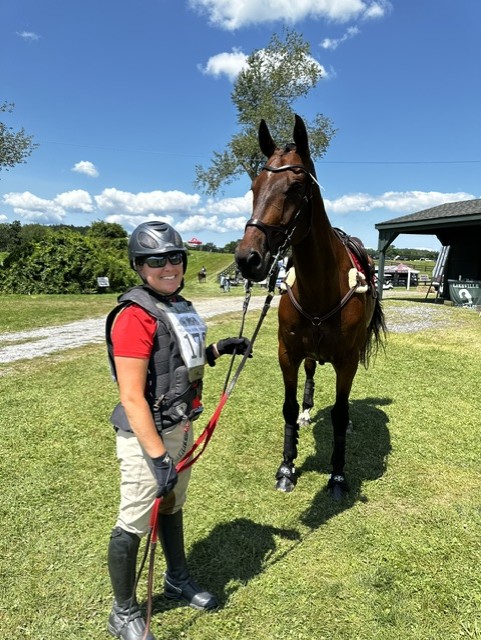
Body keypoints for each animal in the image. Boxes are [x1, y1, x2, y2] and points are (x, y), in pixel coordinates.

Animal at [235, 115, 386, 498]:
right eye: (254, 187)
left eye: (295, 187)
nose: (248, 259)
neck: (320, 288)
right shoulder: (287, 353)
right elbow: (288, 408)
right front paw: (287, 467)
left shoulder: (348, 360)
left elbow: (339, 413)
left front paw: (338, 475)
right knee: (310, 374)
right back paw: (307, 411)